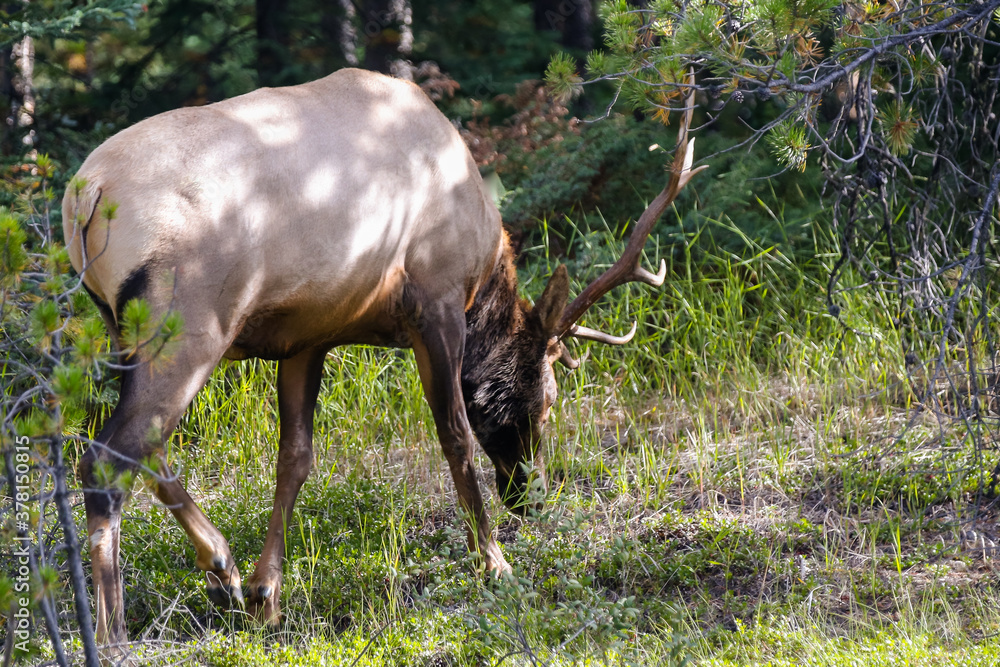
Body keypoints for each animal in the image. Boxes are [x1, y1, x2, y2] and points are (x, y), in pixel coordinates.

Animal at [61, 67, 704, 655]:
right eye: (546, 399)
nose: (531, 493)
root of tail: (86, 193)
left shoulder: (309, 335)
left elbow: (295, 458)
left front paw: (268, 594)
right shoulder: (436, 300)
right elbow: (456, 436)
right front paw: (494, 562)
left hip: (126, 333)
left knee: (141, 446)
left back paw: (224, 570)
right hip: (191, 325)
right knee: (105, 458)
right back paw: (116, 638)